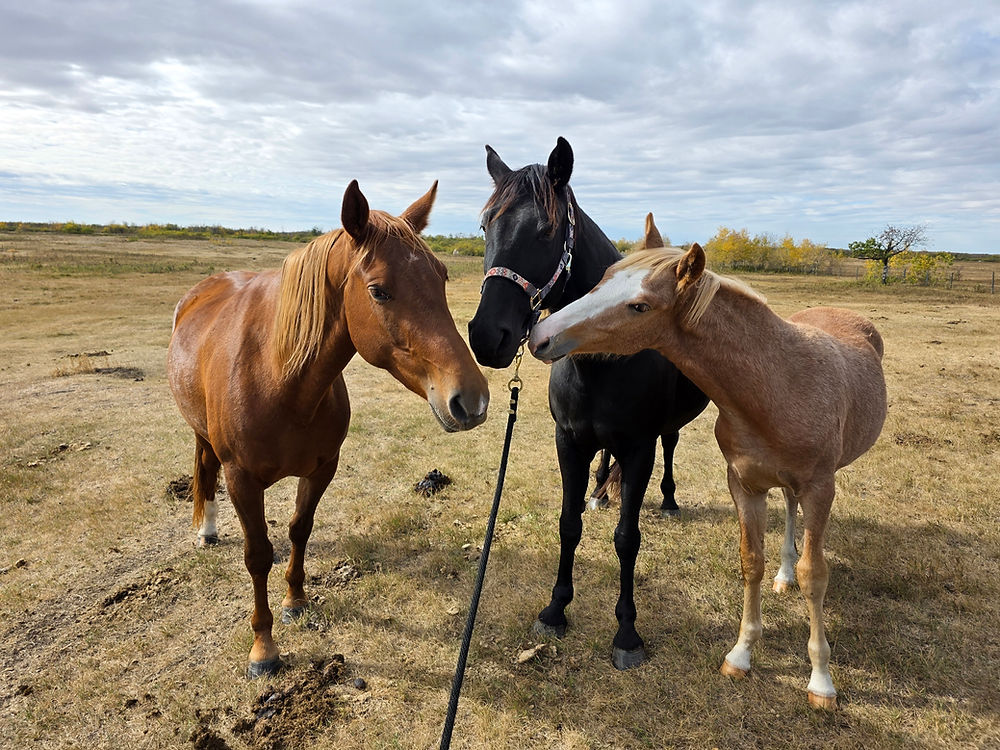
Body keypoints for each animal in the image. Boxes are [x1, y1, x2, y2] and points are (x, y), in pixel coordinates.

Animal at [167, 180, 490, 678]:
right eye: (378, 291)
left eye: (441, 278)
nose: (471, 400)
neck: (277, 377)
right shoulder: (242, 480)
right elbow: (257, 555)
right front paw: (263, 649)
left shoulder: (322, 468)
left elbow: (300, 529)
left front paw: (296, 601)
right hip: (202, 434)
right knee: (205, 468)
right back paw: (207, 530)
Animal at [467, 137, 708, 670]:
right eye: (485, 226)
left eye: (546, 229)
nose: (486, 336)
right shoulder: (569, 442)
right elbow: (568, 523)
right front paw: (555, 609)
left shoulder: (639, 448)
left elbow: (626, 538)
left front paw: (627, 633)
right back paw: (600, 490)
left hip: (665, 433)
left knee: (672, 445)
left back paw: (669, 499)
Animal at [528, 243, 887, 709]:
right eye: (603, 278)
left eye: (640, 306)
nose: (540, 335)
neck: (778, 385)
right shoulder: (744, 485)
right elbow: (751, 562)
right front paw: (741, 656)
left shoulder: (820, 489)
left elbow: (815, 575)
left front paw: (821, 682)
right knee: (788, 508)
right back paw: (783, 574)